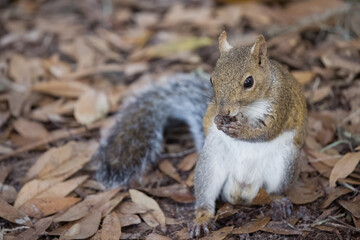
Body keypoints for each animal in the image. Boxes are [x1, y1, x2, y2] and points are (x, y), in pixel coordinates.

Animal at [90, 31, 306, 237]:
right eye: (212, 80)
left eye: (249, 82)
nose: (224, 111)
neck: (248, 108)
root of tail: (242, 191)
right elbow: (211, 118)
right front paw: (218, 121)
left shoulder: (281, 104)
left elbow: (268, 130)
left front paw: (241, 130)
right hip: (209, 166)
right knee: (206, 199)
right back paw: (202, 219)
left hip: (284, 165)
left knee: (276, 190)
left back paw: (278, 201)